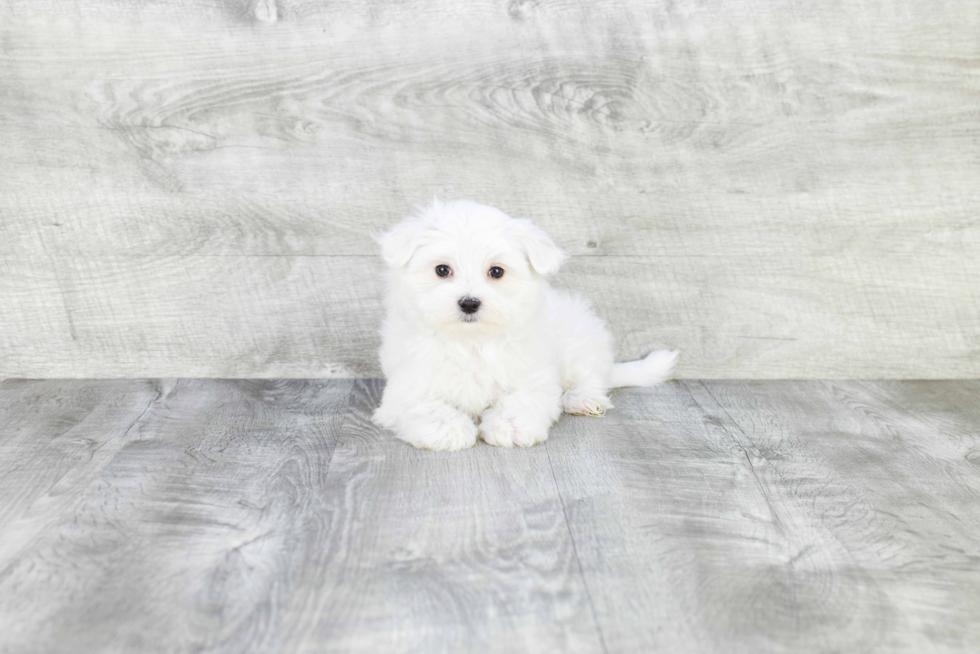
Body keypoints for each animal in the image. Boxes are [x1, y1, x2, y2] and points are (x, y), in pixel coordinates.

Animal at [372, 200, 676, 454]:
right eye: (442, 270)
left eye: (496, 271)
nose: (469, 303)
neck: (472, 341)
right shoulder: (409, 383)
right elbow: (426, 405)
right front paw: (450, 429)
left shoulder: (533, 376)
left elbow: (519, 401)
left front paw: (509, 426)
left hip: (578, 340)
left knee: (590, 377)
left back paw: (583, 399)